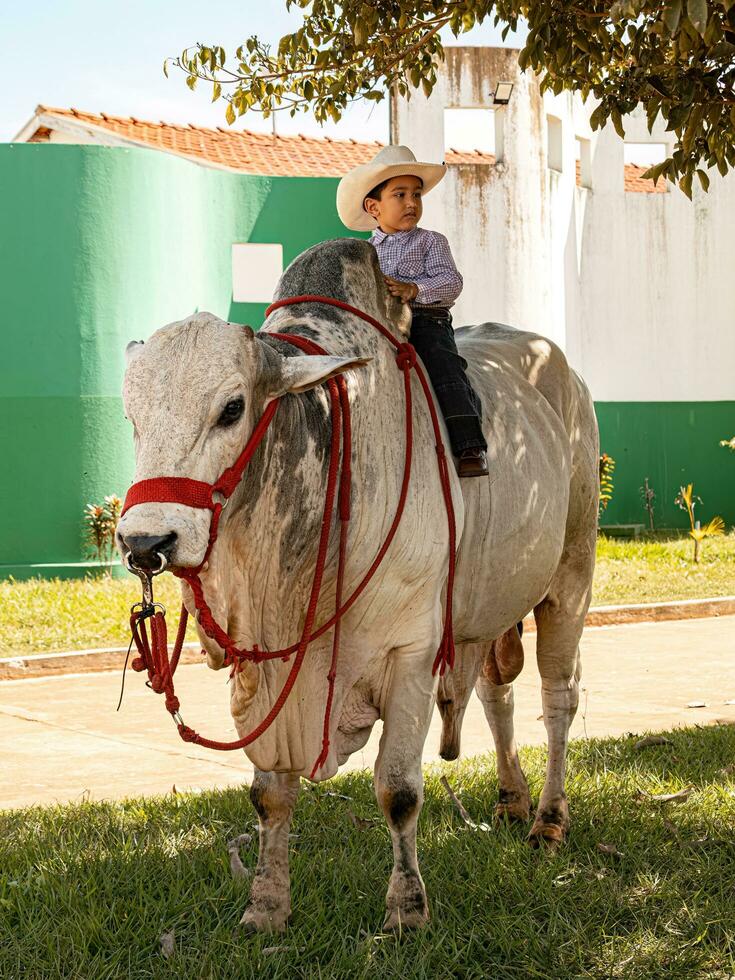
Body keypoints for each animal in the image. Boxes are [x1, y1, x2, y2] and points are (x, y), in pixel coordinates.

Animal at [118, 239, 600, 936]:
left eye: (232, 408)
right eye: (130, 418)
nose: (144, 542)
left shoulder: (411, 652)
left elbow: (397, 789)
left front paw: (407, 909)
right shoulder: (267, 669)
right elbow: (269, 793)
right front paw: (266, 906)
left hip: (570, 576)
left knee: (559, 698)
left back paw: (548, 820)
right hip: (485, 609)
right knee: (495, 693)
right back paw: (511, 799)